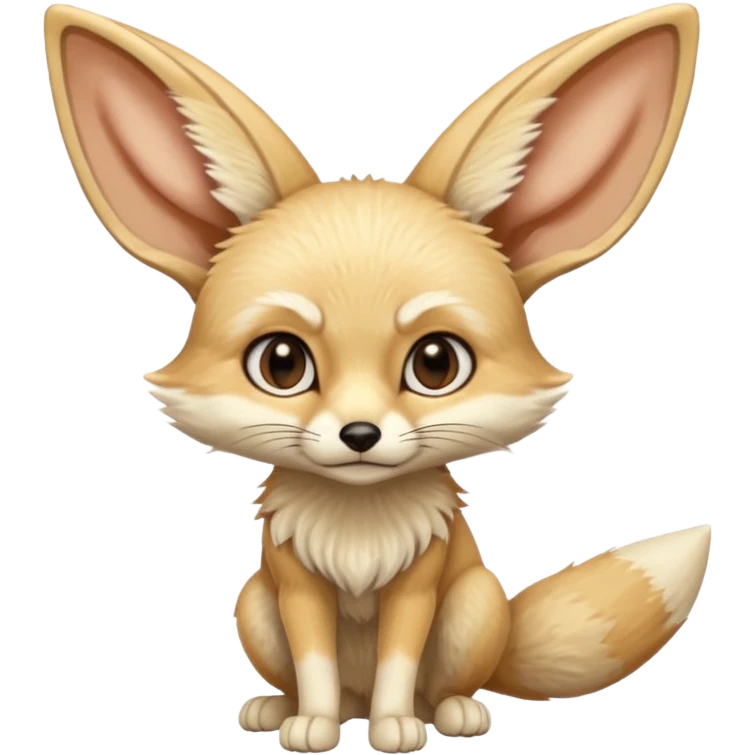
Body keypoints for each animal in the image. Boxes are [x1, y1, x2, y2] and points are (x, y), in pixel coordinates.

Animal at [43, 2, 710, 752]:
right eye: (281, 363)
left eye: (436, 363)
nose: (359, 434)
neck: (358, 524)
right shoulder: (294, 587)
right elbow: (315, 664)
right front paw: (311, 723)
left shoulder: (418, 586)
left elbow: (398, 658)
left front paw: (395, 727)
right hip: (252, 603)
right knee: (319, 679)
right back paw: (287, 708)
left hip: (474, 602)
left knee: (438, 682)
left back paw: (446, 711)